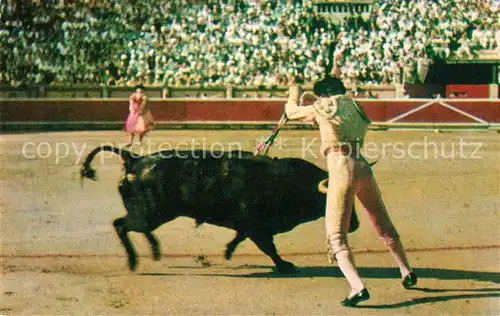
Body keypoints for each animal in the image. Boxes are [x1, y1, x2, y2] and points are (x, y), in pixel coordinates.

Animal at [80, 147, 358, 272]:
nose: (354, 224)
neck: (284, 181)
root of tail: (134, 158)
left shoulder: (251, 227)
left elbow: (243, 238)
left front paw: (228, 251)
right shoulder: (257, 226)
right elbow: (268, 247)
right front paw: (285, 266)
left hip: (153, 215)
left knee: (134, 227)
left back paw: (155, 252)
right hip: (151, 214)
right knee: (121, 225)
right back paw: (134, 260)